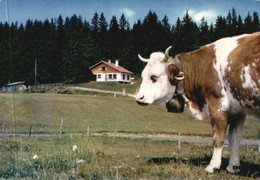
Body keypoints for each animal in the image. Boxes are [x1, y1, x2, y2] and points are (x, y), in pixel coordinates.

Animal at [136, 32, 260, 173]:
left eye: (154, 77)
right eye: (143, 75)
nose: (139, 97)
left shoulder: (217, 103)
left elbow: (218, 137)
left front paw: (213, 165)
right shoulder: (238, 110)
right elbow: (235, 138)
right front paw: (233, 167)